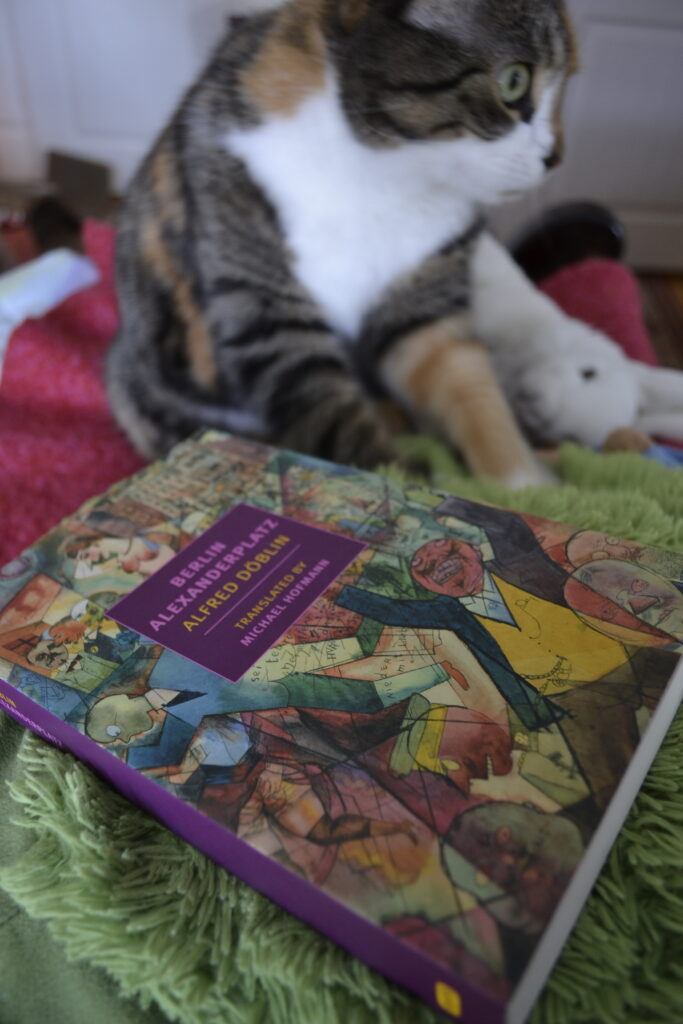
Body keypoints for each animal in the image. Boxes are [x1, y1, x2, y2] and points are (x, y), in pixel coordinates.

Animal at [105, 0, 577, 487]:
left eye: (565, 84)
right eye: (514, 81)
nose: (555, 157)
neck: (381, 174)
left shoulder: (424, 301)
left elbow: (469, 383)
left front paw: (526, 488)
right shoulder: (269, 318)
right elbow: (343, 427)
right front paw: (399, 479)